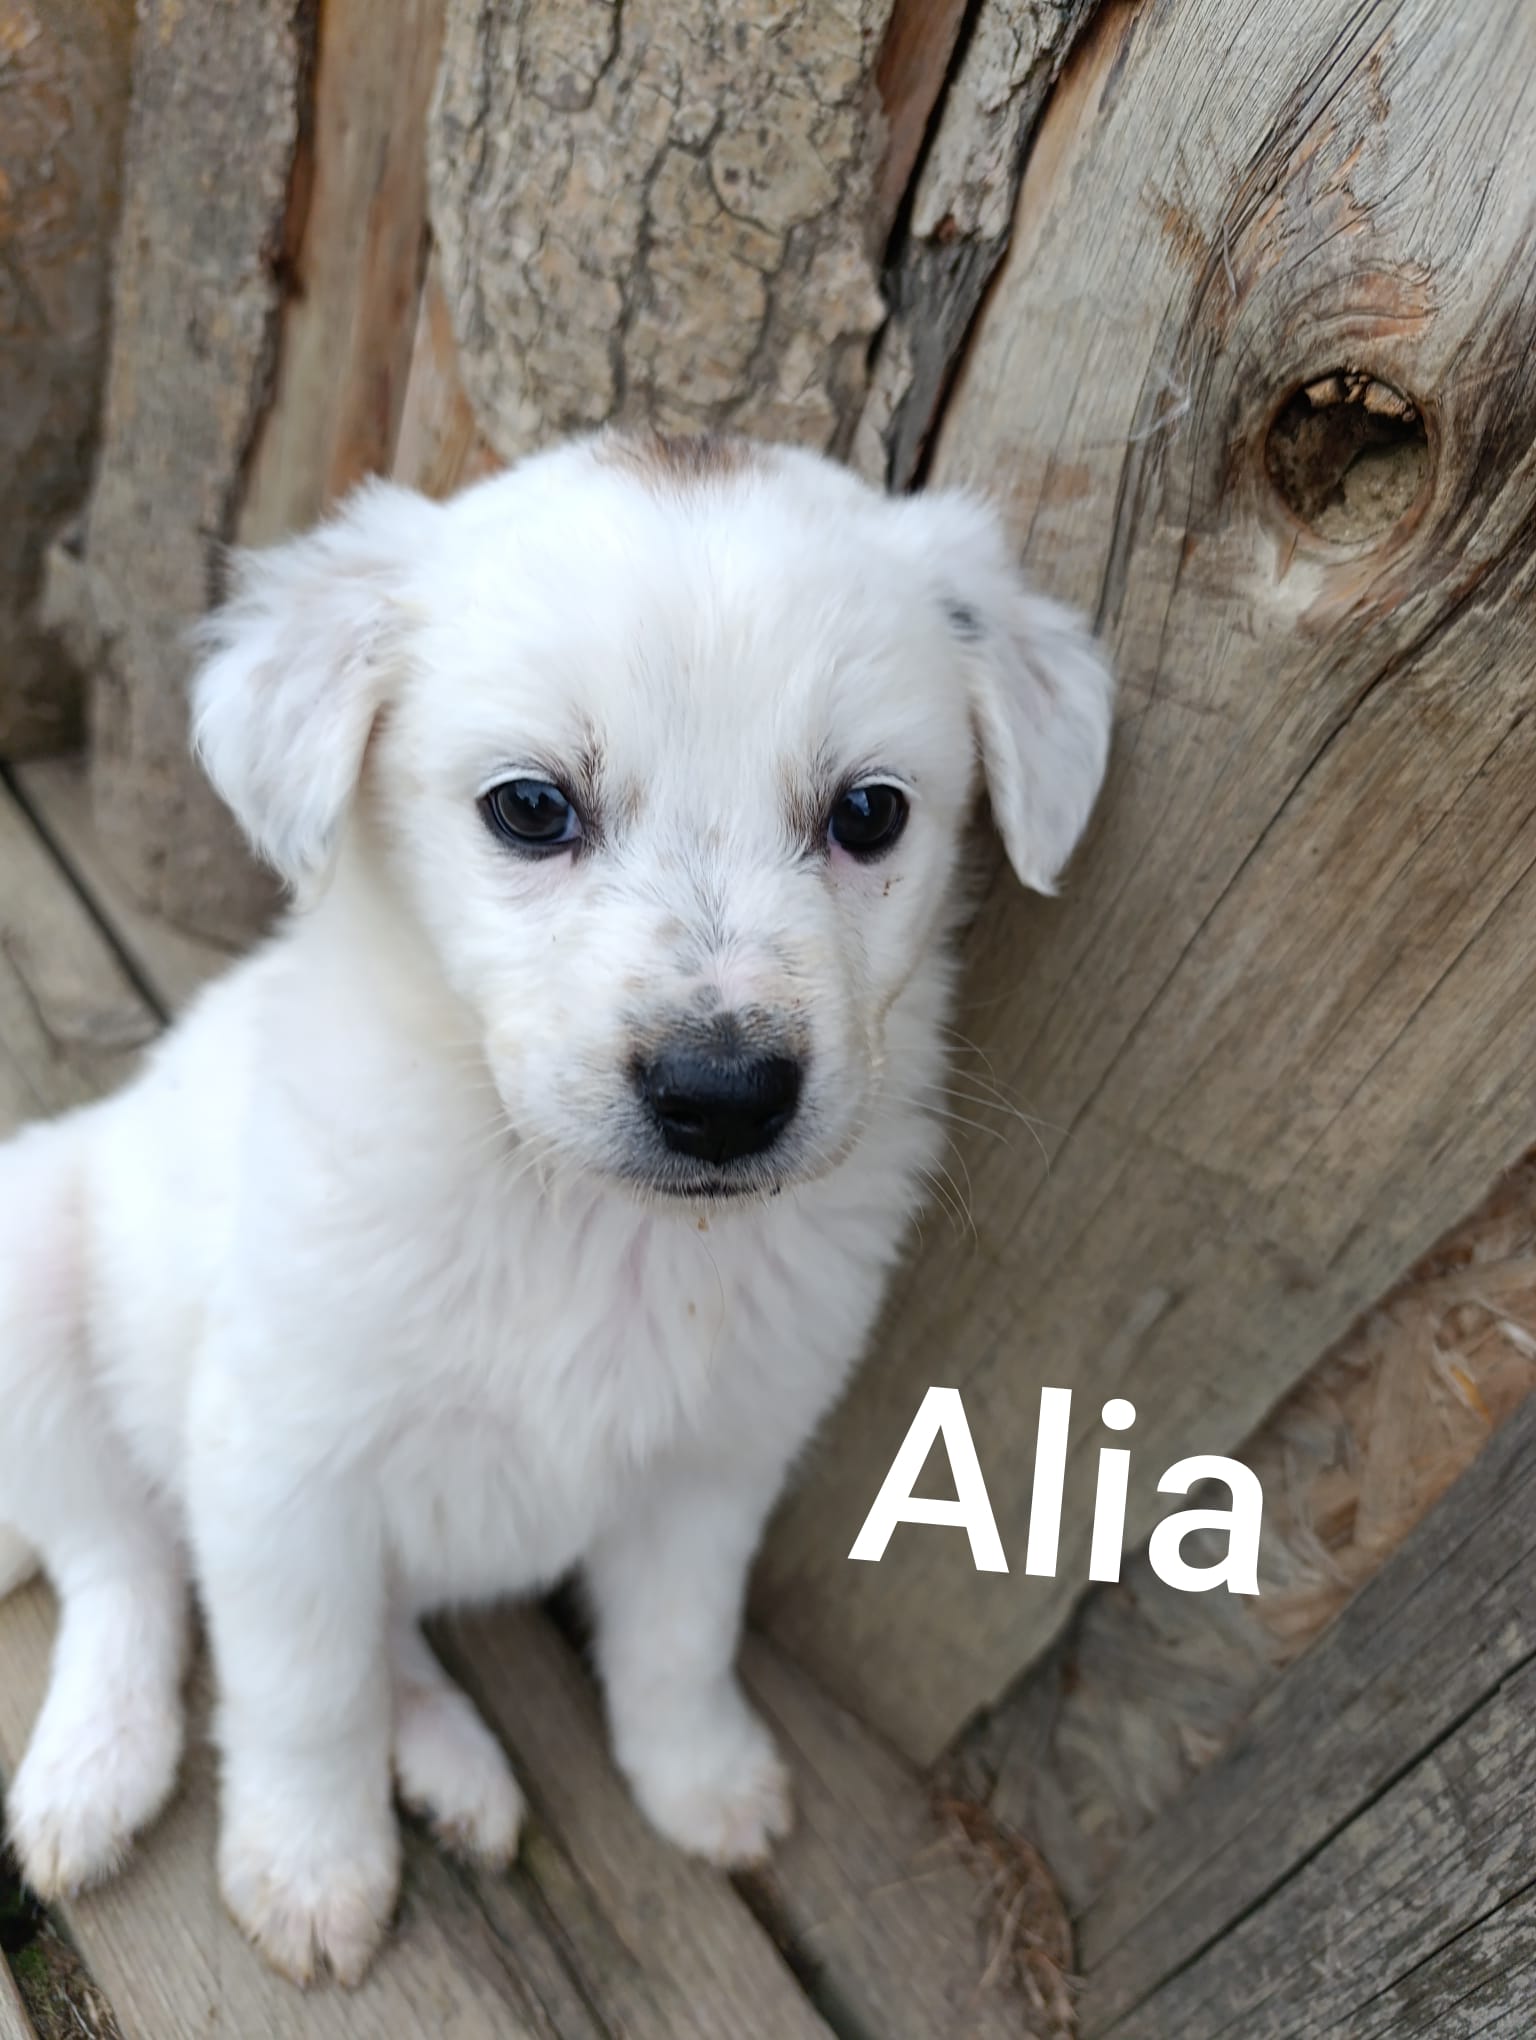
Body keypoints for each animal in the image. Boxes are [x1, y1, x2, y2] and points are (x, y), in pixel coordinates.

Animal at [0, 429, 1112, 1986]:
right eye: (532, 809)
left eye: (870, 814)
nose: (723, 1095)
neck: (592, 1223)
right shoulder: (279, 1458)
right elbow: (301, 1690)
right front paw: (311, 1867)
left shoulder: (720, 1459)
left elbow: (677, 1641)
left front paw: (701, 1781)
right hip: (34, 1276)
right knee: (124, 1565)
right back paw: (96, 1774)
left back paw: (448, 1763)